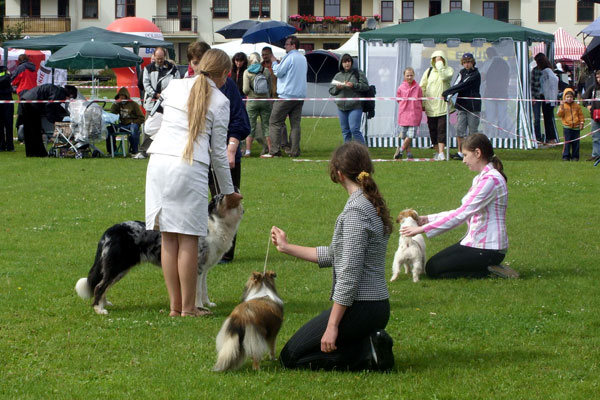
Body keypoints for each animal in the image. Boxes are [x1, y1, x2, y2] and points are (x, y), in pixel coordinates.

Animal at [75, 193, 244, 315]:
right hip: (118, 265)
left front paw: (208, 303)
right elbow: (197, 290)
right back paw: (99, 309)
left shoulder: (205, 269)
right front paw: (200, 307)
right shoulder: (198, 267)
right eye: (222, 197)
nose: (237, 191)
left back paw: (104, 304)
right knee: (99, 286)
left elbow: (204, 289)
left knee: (103, 285)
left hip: (119, 268)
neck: (217, 223)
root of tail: (110, 231)